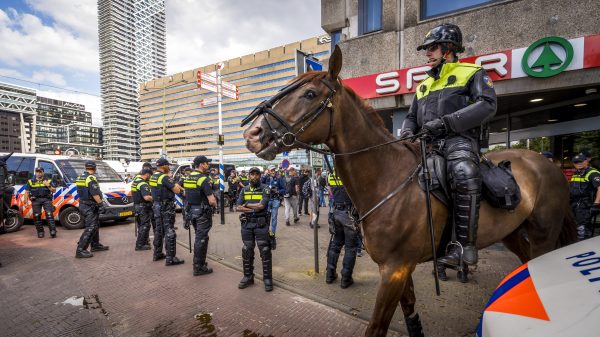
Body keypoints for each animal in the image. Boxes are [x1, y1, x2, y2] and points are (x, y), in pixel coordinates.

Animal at [240, 46, 576, 336]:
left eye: (309, 94)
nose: (253, 134)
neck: (387, 180)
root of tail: (549, 165)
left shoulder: (395, 269)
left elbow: (377, 327)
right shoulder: (400, 269)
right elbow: (411, 315)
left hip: (544, 233)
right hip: (514, 233)